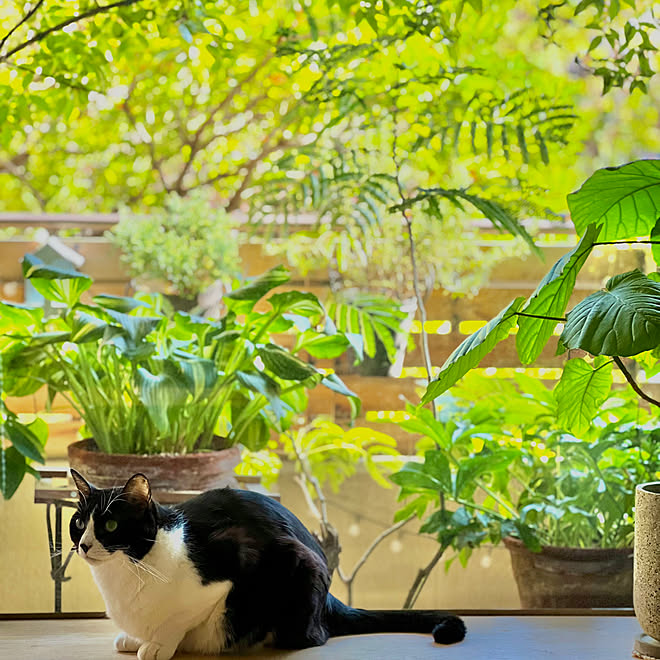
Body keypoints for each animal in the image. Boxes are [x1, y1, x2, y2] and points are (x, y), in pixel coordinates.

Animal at [69, 470, 466, 660]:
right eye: (78, 522)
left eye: (110, 526)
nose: (83, 545)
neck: (130, 568)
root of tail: (330, 600)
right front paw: (137, 637)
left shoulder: (227, 569)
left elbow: (179, 620)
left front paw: (158, 645)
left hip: (298, 569)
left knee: (315, 636)